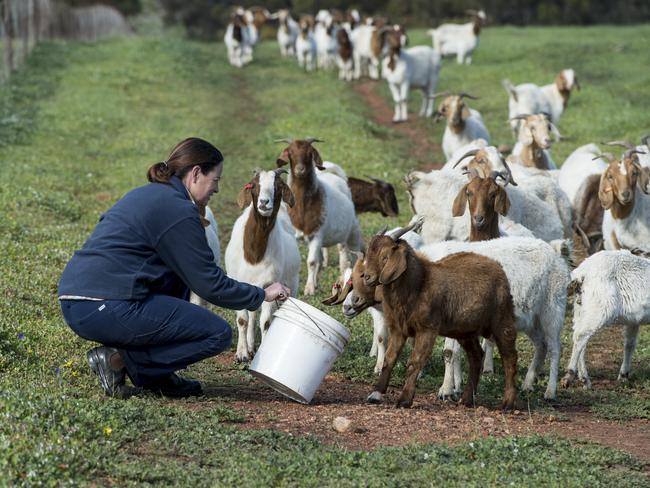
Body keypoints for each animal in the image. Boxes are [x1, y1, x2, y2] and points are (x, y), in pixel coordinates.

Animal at [224, 170, 300, 360]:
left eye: (278, 186)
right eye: (253, 185)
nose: (264, 203)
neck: (254, 255)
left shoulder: (270, 285)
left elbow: (265, 322)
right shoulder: (239, 283)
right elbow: (242, 320)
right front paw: (242, 353)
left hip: (292, 282)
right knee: (251, 314)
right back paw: (249, 347)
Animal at [274, 139, 362, 296]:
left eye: (310, 153)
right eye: (290, 152)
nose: (300, 170)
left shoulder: (317, 234)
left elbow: (312, 262)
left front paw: (308, 289)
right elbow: (311, 261)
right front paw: (311, 285)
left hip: (348, 232)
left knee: (343, 253)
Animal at [360, 227, 516, 410]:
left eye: (385, 257)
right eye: (369, 254)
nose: (367, 277)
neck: (418, 284)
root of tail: (498, 267)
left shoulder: (427, 328)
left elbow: (415, 362)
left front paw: (404, 399)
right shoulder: (399, 329)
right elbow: (389, 359)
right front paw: (375, 394)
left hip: (502, 319)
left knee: (509, 357)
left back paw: (507, 403)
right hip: (465, 330)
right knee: (476, 355)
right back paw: (467, 399)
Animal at [560, 252, 644, 388]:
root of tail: (581, 271)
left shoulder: (634, 320)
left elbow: (629, 344)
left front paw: (623, 376)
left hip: (581, 308)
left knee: (578, 336)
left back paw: (584, 379)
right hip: (601, 307)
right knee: (581, 336)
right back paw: (570, 375)